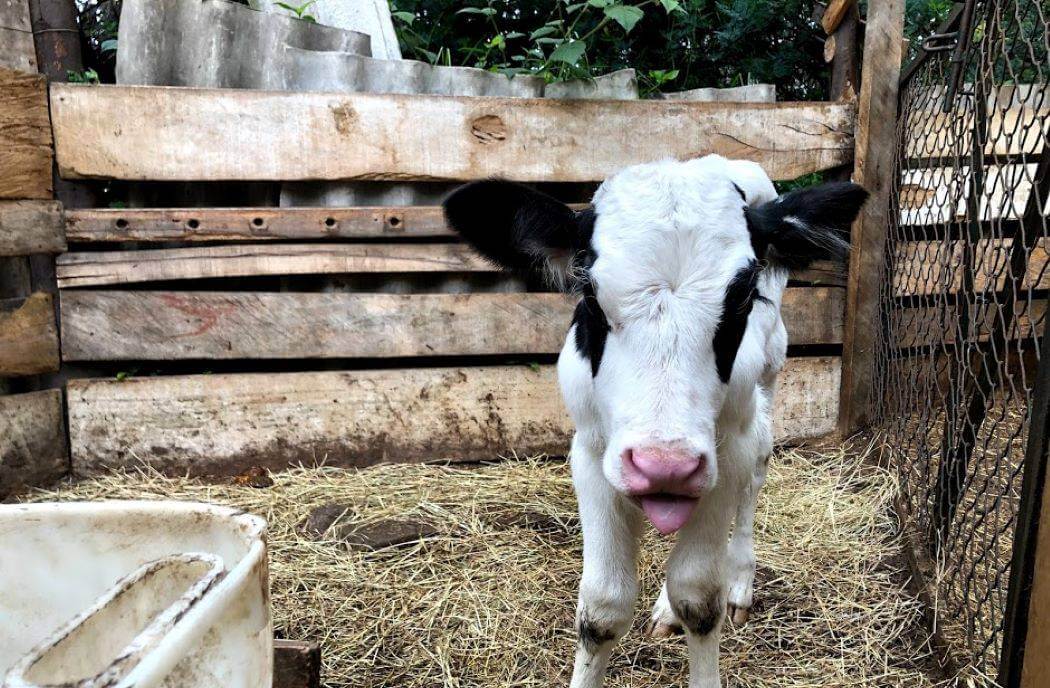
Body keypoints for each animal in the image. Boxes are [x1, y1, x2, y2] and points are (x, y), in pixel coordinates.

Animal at [440, 156, 860, 688]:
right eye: (589, 294)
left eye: (744, 297)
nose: (664, 466)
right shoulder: (592, 454)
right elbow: (603, 605)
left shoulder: (726, 453)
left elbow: (699, 596)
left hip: (767, 380)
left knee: (756, 473)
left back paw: (739, 579)